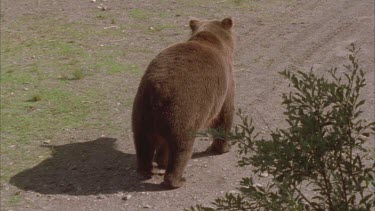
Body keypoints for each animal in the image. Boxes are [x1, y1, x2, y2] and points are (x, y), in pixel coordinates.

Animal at [133, 17, 235, 189]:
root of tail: (159, 90)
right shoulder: (225, 84)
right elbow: (224, 116)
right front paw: (223, 147)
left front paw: (161, 159)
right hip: (184, 109)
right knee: (181, 147)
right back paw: (177, 180)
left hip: (142, 110)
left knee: (143, 142)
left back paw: (146, 169)